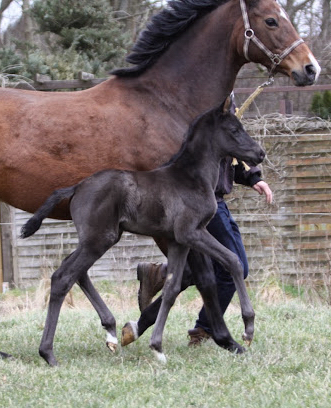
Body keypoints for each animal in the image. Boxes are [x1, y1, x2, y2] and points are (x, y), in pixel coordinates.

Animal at [22, 97, 266, 364]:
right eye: (234, 130)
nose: (260, 154)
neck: (192, 178)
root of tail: (76, 187)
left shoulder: (180, 240)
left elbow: (171, 288)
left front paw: (157, 347)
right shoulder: (192, 233)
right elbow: (233, 261)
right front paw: (248, 328)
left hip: (99, 238)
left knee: (75, 271)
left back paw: (110, 331)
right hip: (99, 239)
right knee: (62, 277)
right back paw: (48, 353)